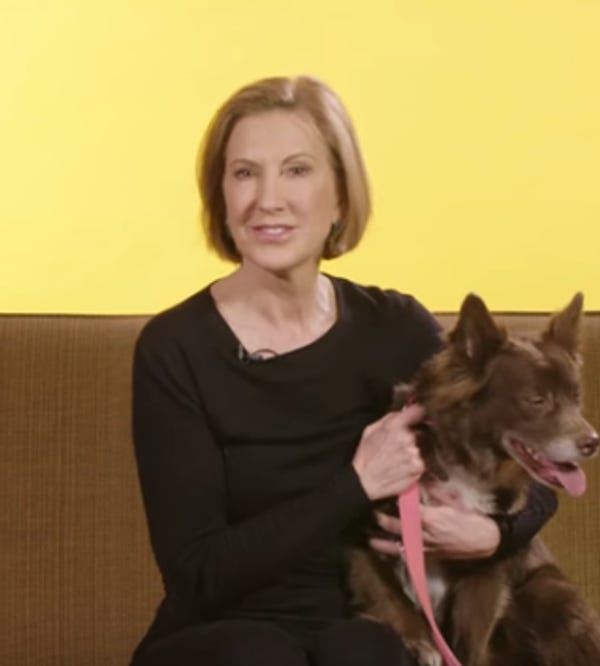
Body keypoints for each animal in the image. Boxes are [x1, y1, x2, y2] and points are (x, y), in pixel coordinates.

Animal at [348, 292, 600, 666]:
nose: (593, 442)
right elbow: (390, 597)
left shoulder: (487, 566)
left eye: (576, 398)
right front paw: (421, 643)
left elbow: (471, 642)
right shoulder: (363, 537)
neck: (465, 462)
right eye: (537, 400)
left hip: (549, 592)